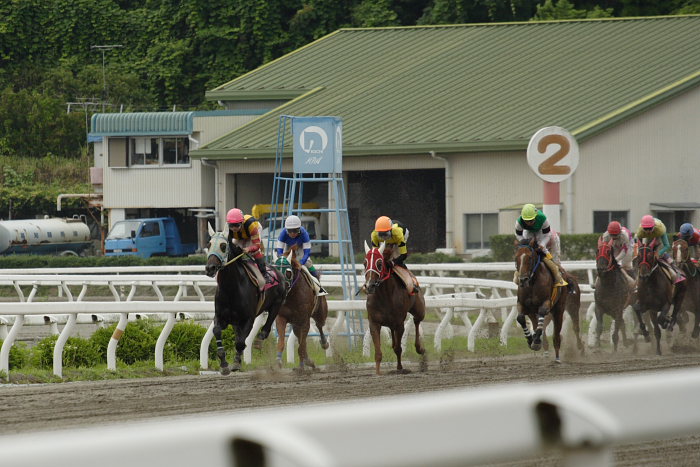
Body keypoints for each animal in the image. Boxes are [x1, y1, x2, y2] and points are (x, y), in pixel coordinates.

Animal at [364, 241, 424, 376]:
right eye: (364, 263)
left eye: (379, 263)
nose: (369, 286)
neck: (384, 296)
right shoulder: (374, 323)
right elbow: (378, 352)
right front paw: (377, 372)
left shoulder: (399, 324)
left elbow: (398, 348)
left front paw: (400, 368)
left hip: (419, 310)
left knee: (417, 321)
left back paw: (420, 348)